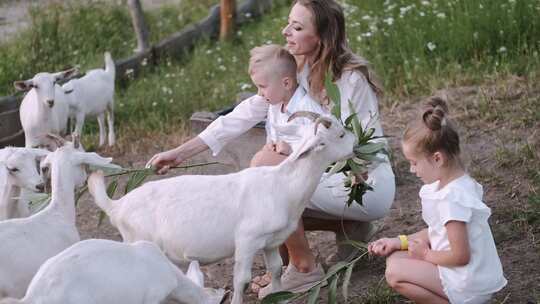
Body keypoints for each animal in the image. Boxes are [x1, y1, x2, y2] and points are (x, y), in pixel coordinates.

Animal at [88, 114, 356, 304]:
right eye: (341, 134)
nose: (357, 142)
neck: (281, 184)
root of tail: (116, 205)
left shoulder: (271, 241)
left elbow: (277, 270)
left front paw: (277, 296)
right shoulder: (247, 240)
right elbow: (242, 281)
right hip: (137, 242)